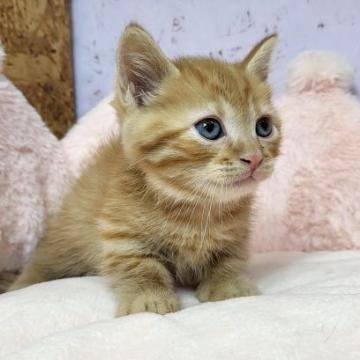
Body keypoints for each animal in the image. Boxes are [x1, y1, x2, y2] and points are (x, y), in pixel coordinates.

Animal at [9, 23, 282, 316]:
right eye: (209, 128)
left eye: (264, 126)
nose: (255, 158)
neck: (194, 208)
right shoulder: (120, 232)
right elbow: (140, 265)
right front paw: (149, 298)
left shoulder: (236, 236)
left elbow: (228, 260)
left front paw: (230, 285)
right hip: (64, 243)